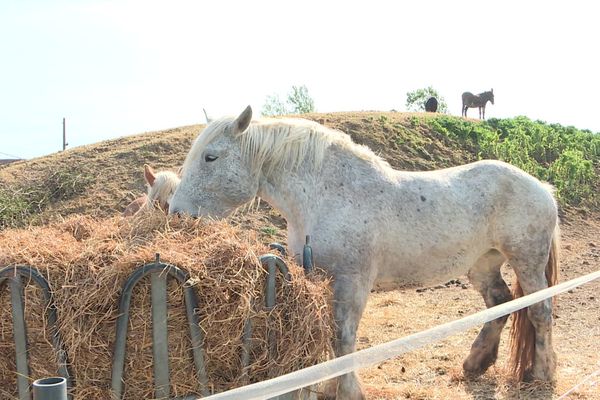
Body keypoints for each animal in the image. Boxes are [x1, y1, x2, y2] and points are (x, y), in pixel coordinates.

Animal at [169, 106, 556, 400]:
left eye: (211, 157)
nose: (176, 213)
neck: (326, 194)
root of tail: (542, 187)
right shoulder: (323, 277)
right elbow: (331, 336)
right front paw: (328, 387)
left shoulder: (351, 282)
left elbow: (343, 337)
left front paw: (349, 391)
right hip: (482, 264)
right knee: (500, 303)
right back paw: (475, 364)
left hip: (527, 261)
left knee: (539, 310)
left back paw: (541, 373)